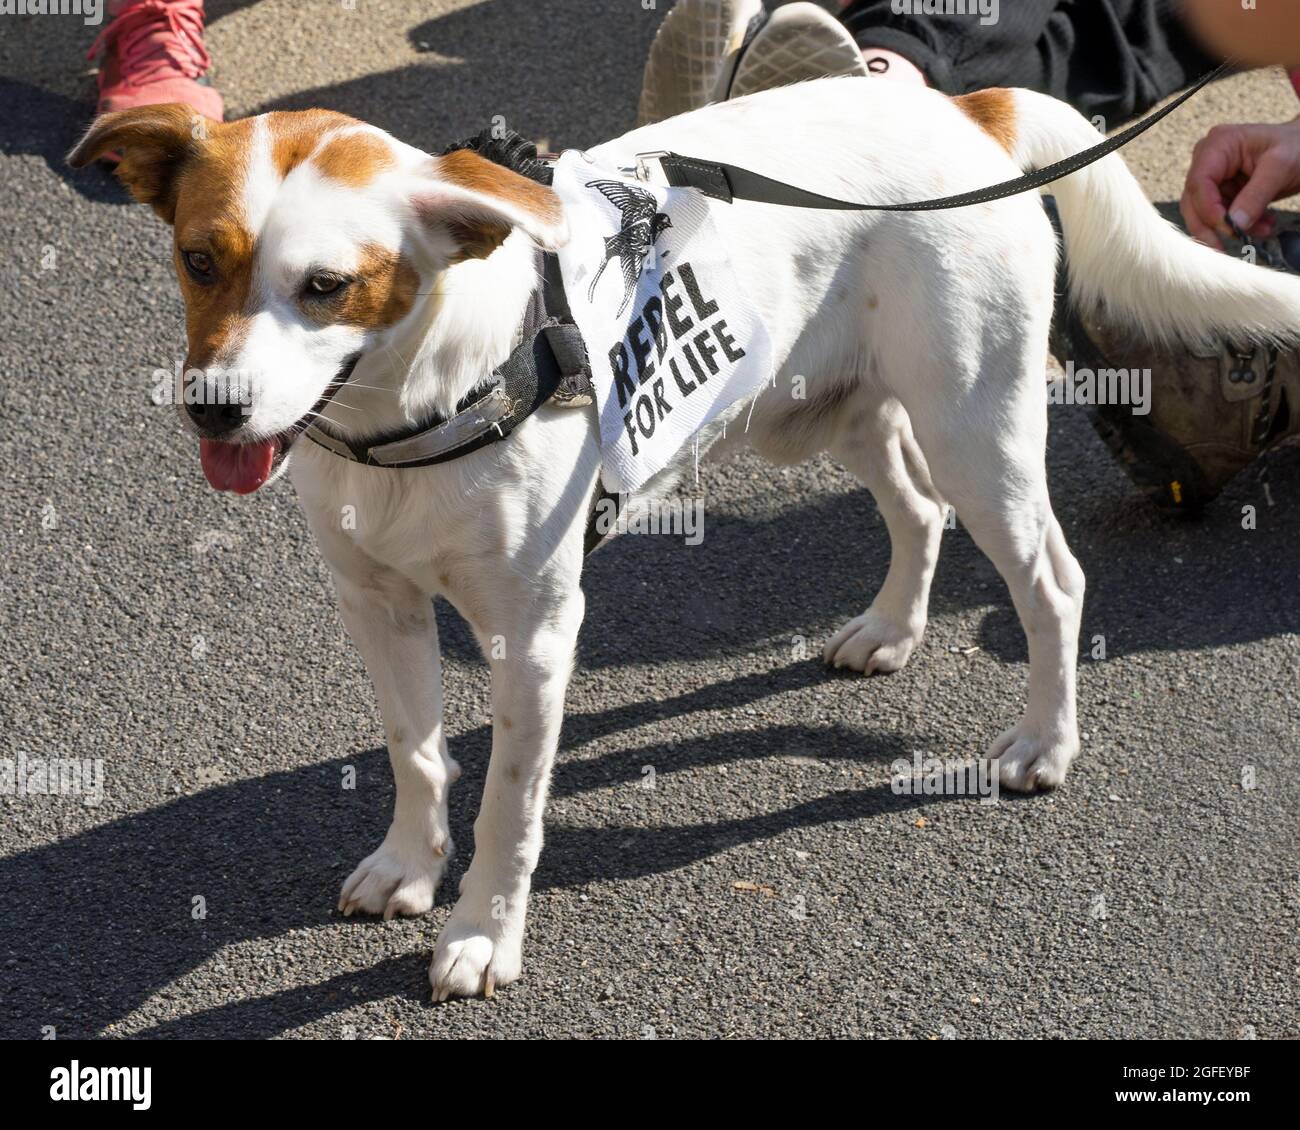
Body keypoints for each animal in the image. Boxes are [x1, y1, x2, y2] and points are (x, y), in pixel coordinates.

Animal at [68, 79, 1300, 998]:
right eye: (197, 259)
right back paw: (891, 629)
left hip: (975, 428)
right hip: (830, 411)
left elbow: (509, 803)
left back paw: (1043, 741)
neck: (409, 408)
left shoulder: (535, 635)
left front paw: (481, 935)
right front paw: (410, 866)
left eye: (327, 286)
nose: (215, 410)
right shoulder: (377, 603)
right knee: (915, 509)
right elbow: (418, 753)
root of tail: (963, 106)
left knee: (1051, 578)